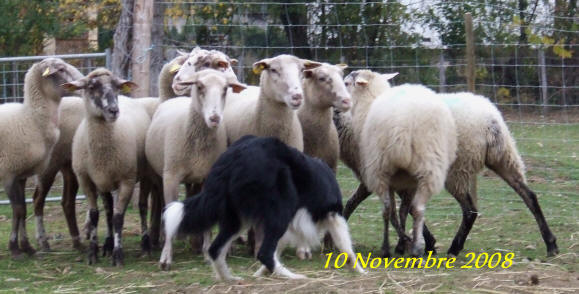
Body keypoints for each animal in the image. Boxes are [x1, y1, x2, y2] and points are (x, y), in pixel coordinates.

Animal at [63, 68, 150, 266]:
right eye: (91, 86)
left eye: (117, 86)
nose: (113, 111)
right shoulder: (86, 179)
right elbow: (96, 214)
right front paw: (93, 253)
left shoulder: (127, 180)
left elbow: (118, 217)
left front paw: (118, 255)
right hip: (103, 182)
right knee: (108, 208)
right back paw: (108, 244)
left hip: (145, 175)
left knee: (141, 207)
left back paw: (145, 243)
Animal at [346, 70, 456, 256]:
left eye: (346, 83)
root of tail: (404, 124)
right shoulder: (407, 181)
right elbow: (403, 211)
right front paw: (404, 243)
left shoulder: (392, 179)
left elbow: (394, 213)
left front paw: (401, 243)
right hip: (429, 166)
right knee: (418, 209)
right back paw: (417, 249)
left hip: (380, 168)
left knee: (386, 209)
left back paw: (386, 249)